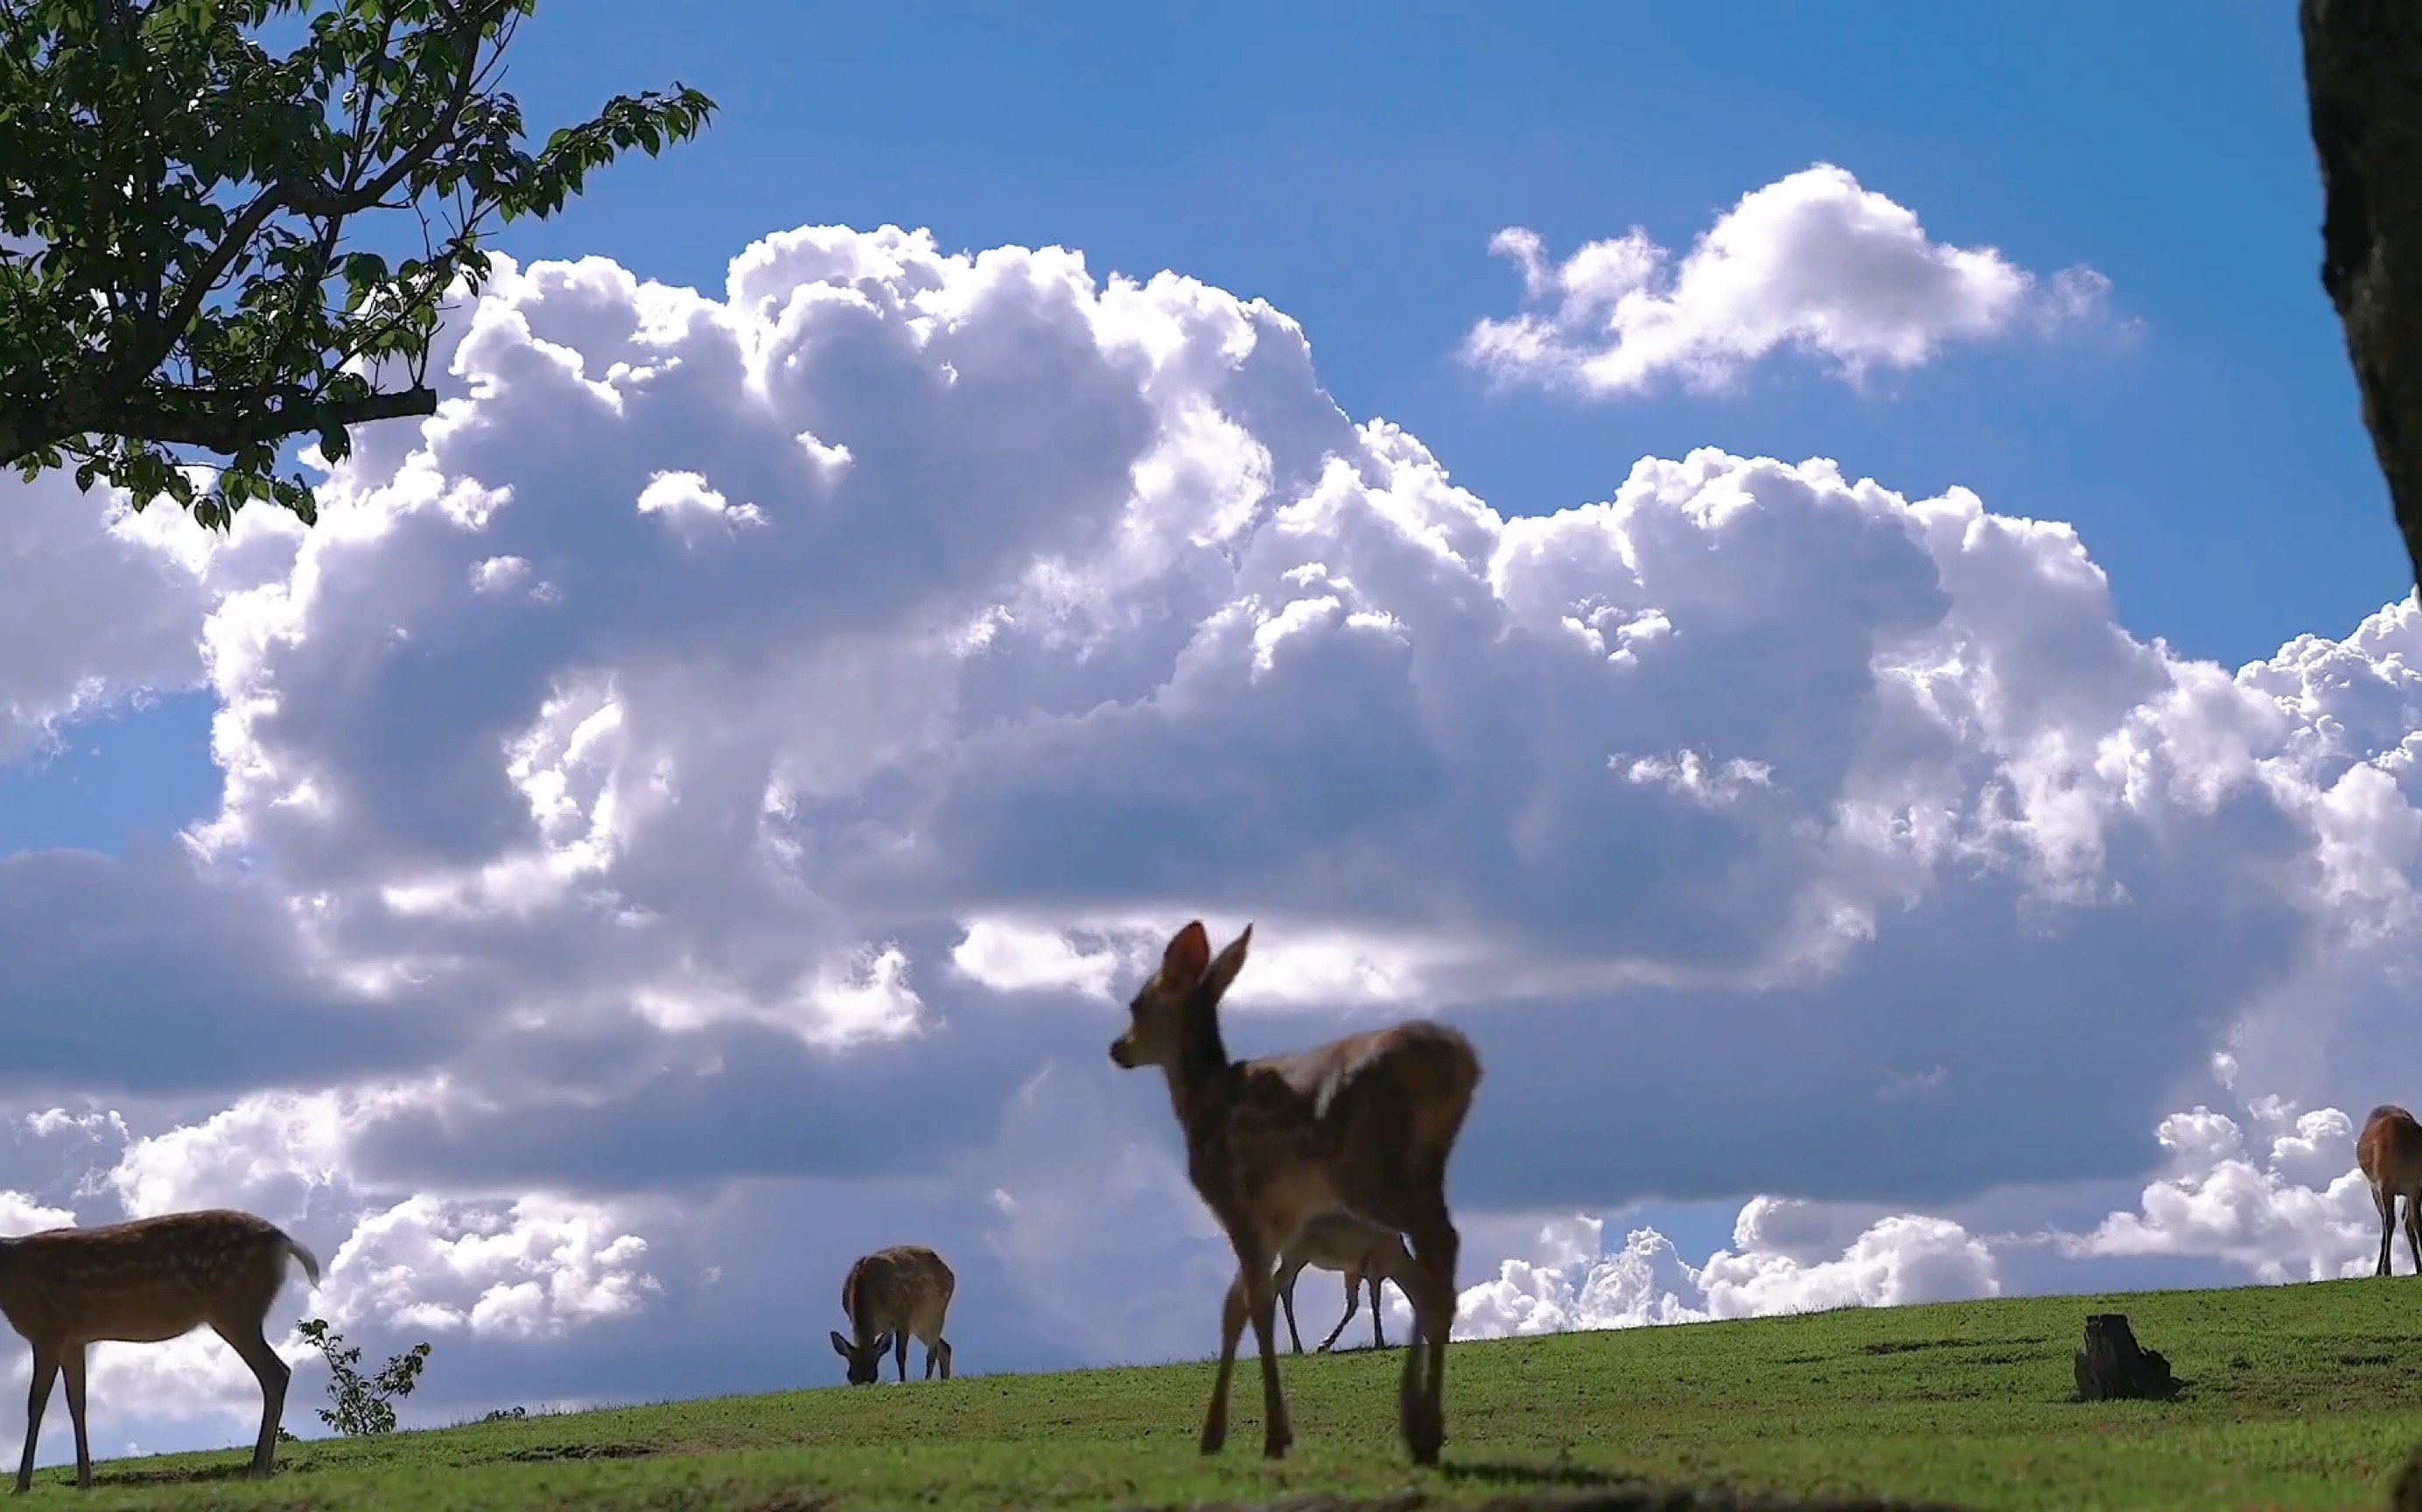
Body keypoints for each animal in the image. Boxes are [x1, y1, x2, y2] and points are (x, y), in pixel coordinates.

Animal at [0, 1207, 322, 1492]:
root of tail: (284, 1241)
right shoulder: (73, 1340)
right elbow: (77, 1403)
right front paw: (84, 1481)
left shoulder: (47, 1332)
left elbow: (36, 1402)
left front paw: (21, 1485)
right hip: (240, 1311)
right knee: (277, 1373)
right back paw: (264, 1468)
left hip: (235, 1309)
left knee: (275, 1372)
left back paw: (256, 1469)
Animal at [823, 1250, 954, 1386]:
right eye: (852, 1378)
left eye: (873, 1377)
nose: (863, 1382)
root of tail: (950, 1274)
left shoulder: (902, 1316)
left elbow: (900, 1355)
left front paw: (902, 1381)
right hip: (920, 1326)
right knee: (945, 1348)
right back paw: (943, 1379)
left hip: (937, 1313)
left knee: (932, 1353)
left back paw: (927, 1380)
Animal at [1278, 1207, 1414, 1356]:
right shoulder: (1374, 1271)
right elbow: (1375, 1303)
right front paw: (1380, 1342)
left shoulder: (1353, 1272)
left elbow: (1353, 1305)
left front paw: (1324, 1345)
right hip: (1296, 1253)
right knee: (1281, 1283)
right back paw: (1297, 1347)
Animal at [2354, 1100, 2422, 1279]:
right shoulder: (2384, 1184)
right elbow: (2390, 1222)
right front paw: (2387, 1268)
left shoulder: (2415, 1186)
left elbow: (2416, 1222)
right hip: (2374, 1187)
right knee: (2385, 1222)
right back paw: (2379, 1270)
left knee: (2405, 1221)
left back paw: (2418, 1267)